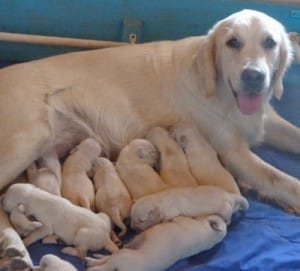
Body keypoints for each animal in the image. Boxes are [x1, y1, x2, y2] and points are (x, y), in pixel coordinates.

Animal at [84, 216, 225, 271]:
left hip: (123, 255)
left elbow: (179, 218)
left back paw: (91, 263)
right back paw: (94, 258)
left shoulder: (184, 221)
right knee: (107, 259)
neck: (212, 236)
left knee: (105, 265)